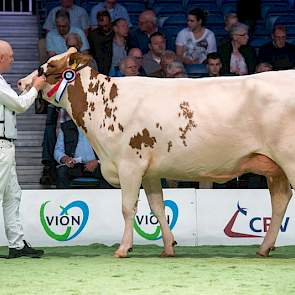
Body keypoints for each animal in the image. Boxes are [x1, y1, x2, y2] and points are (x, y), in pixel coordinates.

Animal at [18, 48, 294, 260]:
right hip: (275, 168)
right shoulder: (149, 171)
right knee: (280, 199)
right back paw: (264, 248)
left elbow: (127, 207)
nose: (20, 83)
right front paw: (169, 247)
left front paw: (123, 248)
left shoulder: (129, 165)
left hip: (288, 158)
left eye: (48, 66)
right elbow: (157, 207)